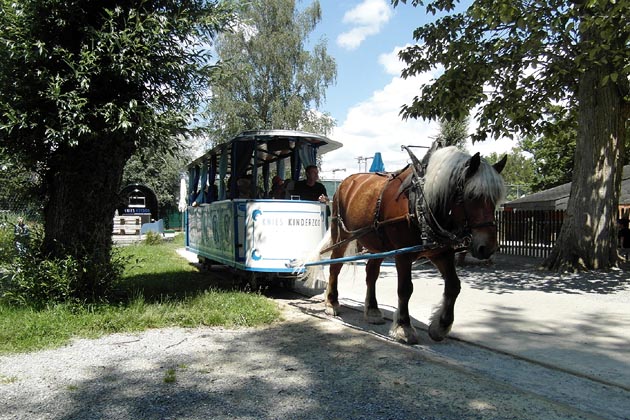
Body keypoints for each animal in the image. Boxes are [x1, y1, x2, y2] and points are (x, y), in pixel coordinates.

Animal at [306, 145, 508, 344]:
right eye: (472, 196)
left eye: (495, 199)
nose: (488, 247)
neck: (420, 202)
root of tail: (345, 182)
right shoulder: (403, 254)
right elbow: (405, 289)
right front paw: (404, 327)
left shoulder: (441, 252)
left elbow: (453, 285)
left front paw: (441, 326)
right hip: (341, 235)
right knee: (335, 266)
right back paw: (332, 302)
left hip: (377, 244)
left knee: (371, 273)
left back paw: (372, 309)